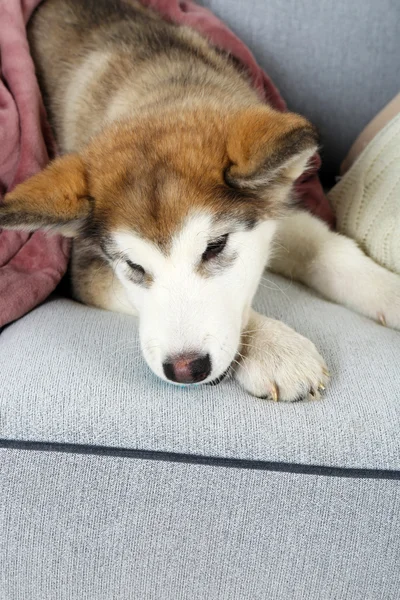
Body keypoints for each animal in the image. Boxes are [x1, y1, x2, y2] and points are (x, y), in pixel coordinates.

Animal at [0, 1, 400, 404]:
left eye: (215, 246)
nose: (185, 369)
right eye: (133, 265)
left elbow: (329, 250)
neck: (157, 85)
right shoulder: (86, 270)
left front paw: (388, 291)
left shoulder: (275, 208)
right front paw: (274, 347)